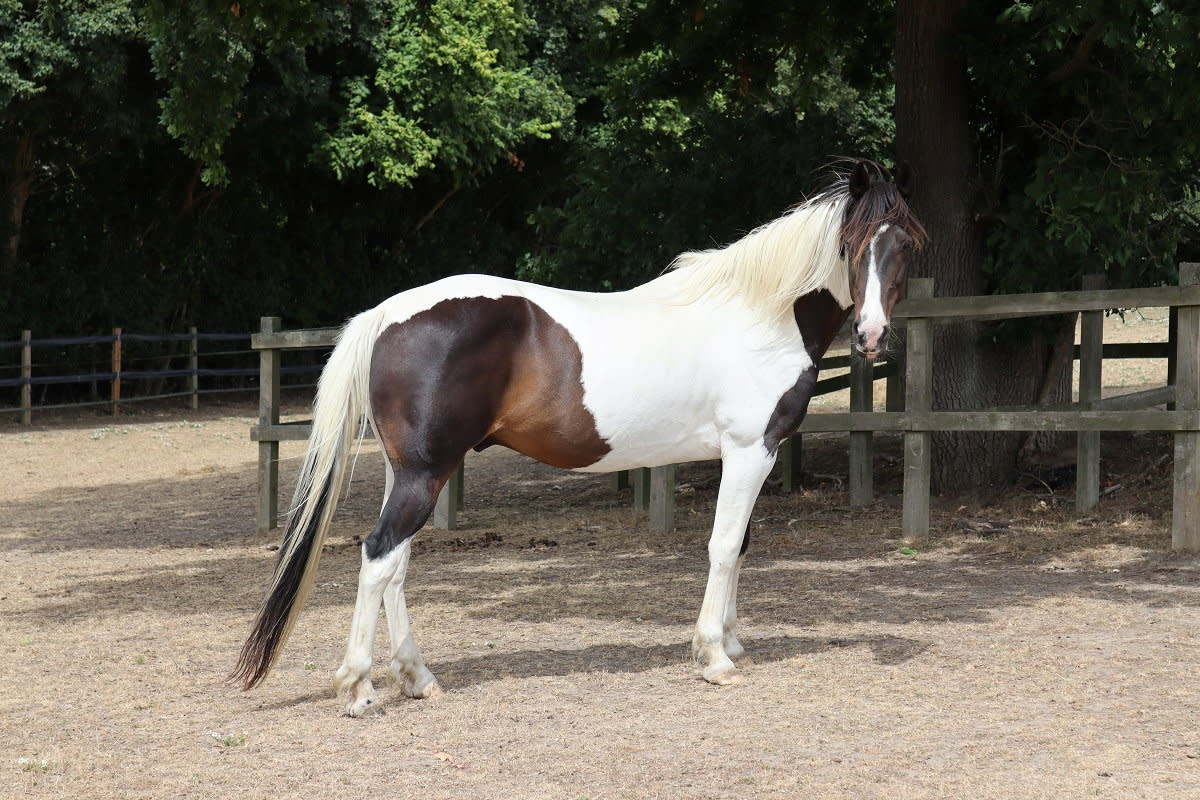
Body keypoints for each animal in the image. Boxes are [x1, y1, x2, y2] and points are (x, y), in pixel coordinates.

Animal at [234, 159, 926, 714]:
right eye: (851, 243)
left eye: (906, 244)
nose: (870, 335)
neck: (761, 316)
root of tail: (386, 314)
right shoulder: (748, 451)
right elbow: (725, 547)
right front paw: (714, 657)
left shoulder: (754, 454)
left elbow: (741, 548)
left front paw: (731, 641)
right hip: (424, 474)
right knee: (379, 556)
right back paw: (357, 689)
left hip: (409, 472)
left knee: (394, 566)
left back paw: (417, 677)